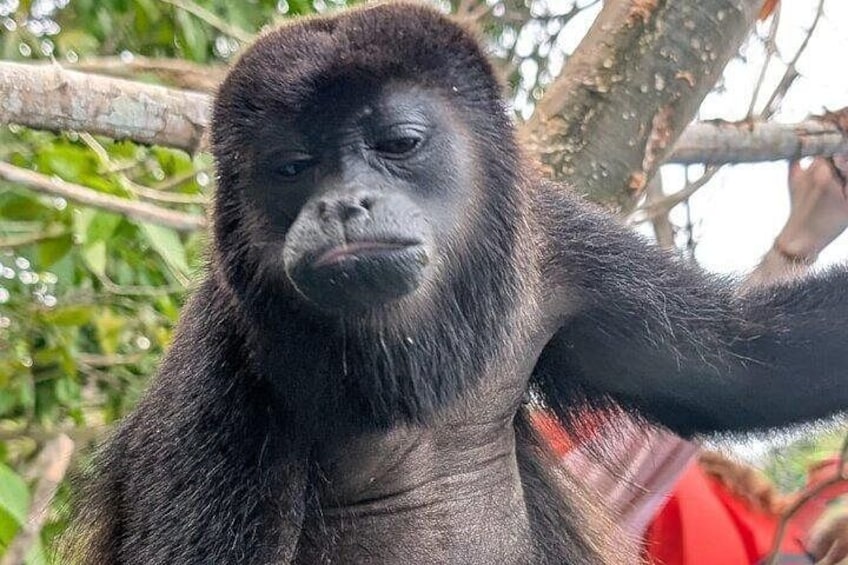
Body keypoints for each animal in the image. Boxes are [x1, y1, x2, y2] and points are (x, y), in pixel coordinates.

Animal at [69, 4, 848, 564]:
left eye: (399, 144)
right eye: (292, 166)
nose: (341, 204)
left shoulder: (560, 251)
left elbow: (742, 360)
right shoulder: (216, 371)